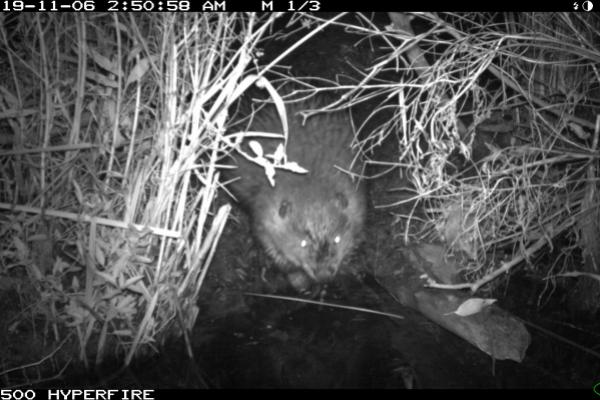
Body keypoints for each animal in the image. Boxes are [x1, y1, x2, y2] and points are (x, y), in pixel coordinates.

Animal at [225, 90, 366, 290]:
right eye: (303, 243)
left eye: (337, 239)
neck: (310, 177)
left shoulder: (356, 201)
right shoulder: (266, 215)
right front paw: (299, 280)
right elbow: (270, 246)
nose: (323, 275)